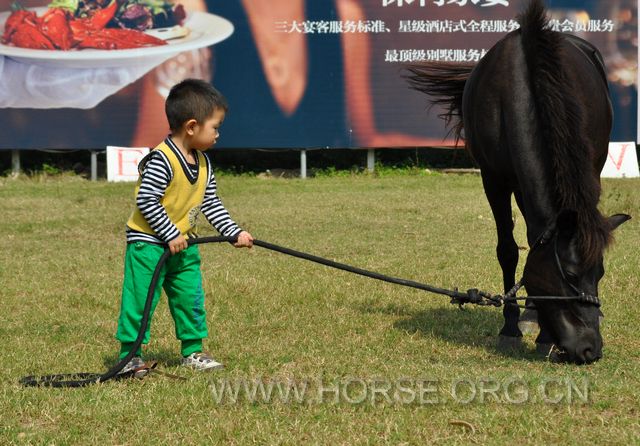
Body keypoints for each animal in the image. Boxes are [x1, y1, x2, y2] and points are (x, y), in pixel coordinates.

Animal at [408, 0, 628, 362]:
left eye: (601, 273)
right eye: (570, 275)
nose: (589, 349)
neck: (520, 90)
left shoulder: (587, 175)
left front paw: (543, 333)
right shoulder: (493, 179)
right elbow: (508, 250)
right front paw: (511, 328)